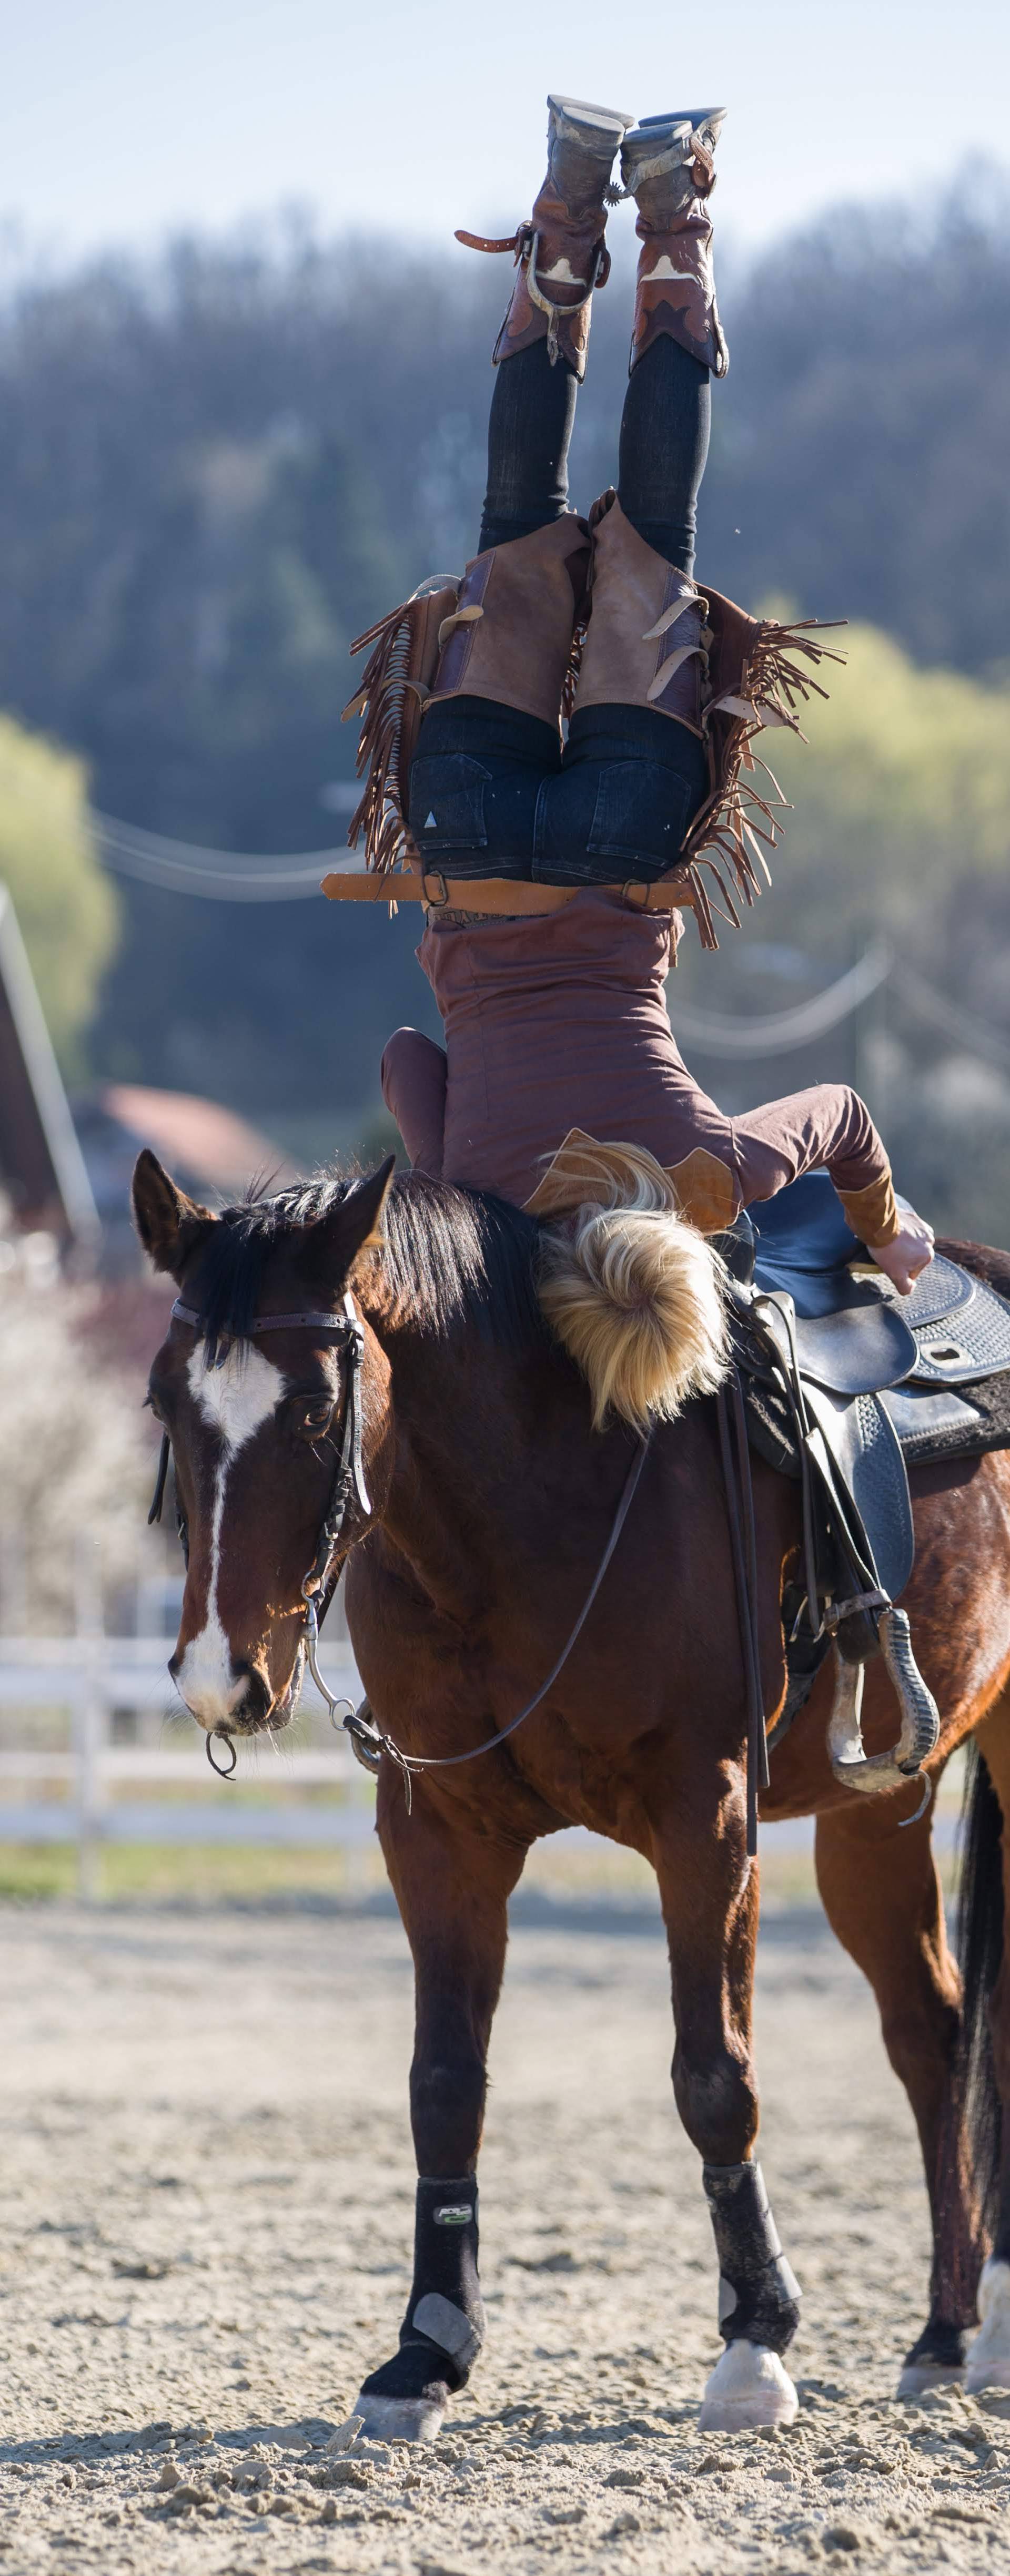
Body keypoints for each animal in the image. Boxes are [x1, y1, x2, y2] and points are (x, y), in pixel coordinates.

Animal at [130, 1148, 1010, 2431]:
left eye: (316, 1408)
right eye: (164, 1403)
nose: (218, 1677)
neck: (536, 1501)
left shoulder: (708, 1822)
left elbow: (715, 2074)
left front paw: (756, 2339)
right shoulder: (439, 1835)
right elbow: (444, 2082)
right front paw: (427, 2346)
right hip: (877, 1811)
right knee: (934, 2030)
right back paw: (947, 2331)